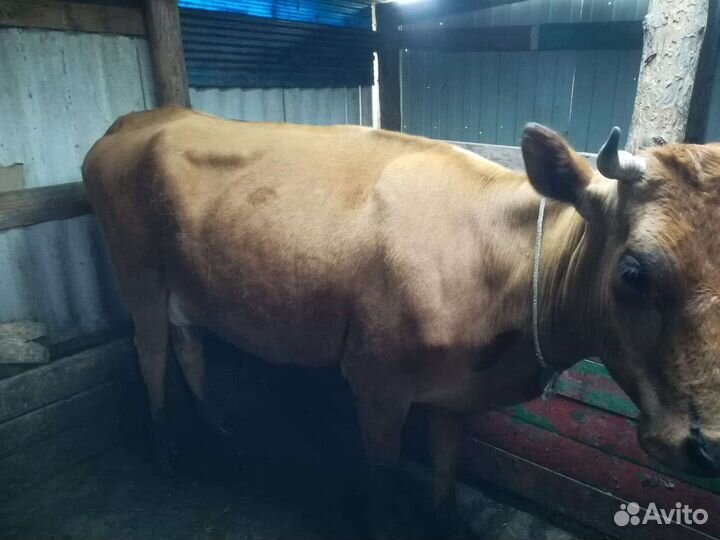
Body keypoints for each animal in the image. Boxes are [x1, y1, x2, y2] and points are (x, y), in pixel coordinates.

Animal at [82, 106, 720, 536]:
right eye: (633, 272)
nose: (710, 449)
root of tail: (146, 116)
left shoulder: (455, 391)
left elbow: (446, 464)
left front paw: (451, 524)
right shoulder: (377, 382)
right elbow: (385, 474)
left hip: (186, 283)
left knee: (187, 343)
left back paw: (219, 426)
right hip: (138, 273)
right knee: (151, 350)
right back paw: (167, 449)